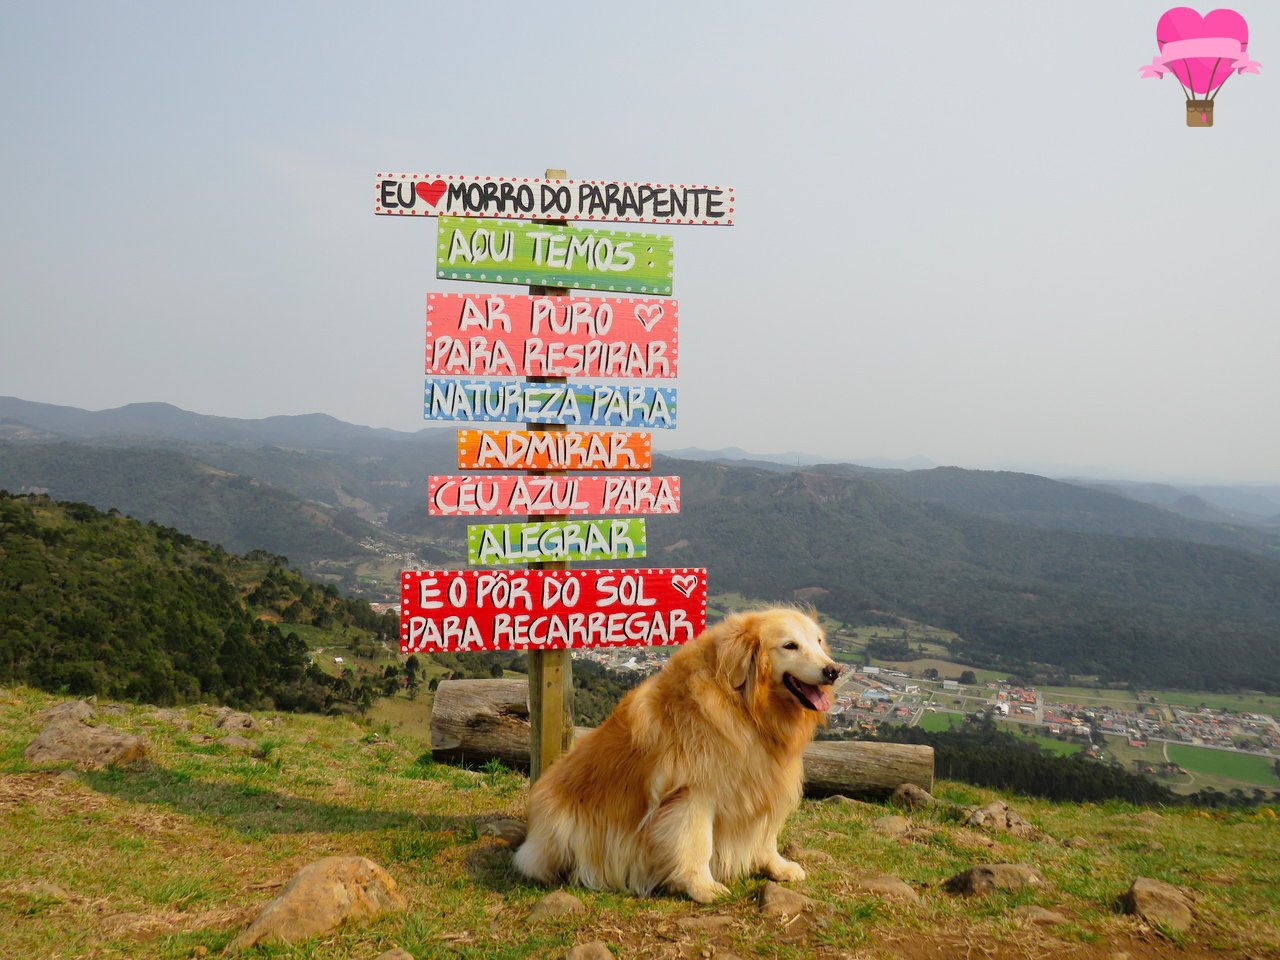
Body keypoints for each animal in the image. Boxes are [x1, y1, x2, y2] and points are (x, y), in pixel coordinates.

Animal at [514, 609, 844, 901]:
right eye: (790, 645)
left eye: (818, 642)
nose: (834, 671)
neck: (745, 708)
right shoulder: (693, 794)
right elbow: (698, 844)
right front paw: (702, 887)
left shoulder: (762, 786)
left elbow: (765, 836)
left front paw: (777, 866)